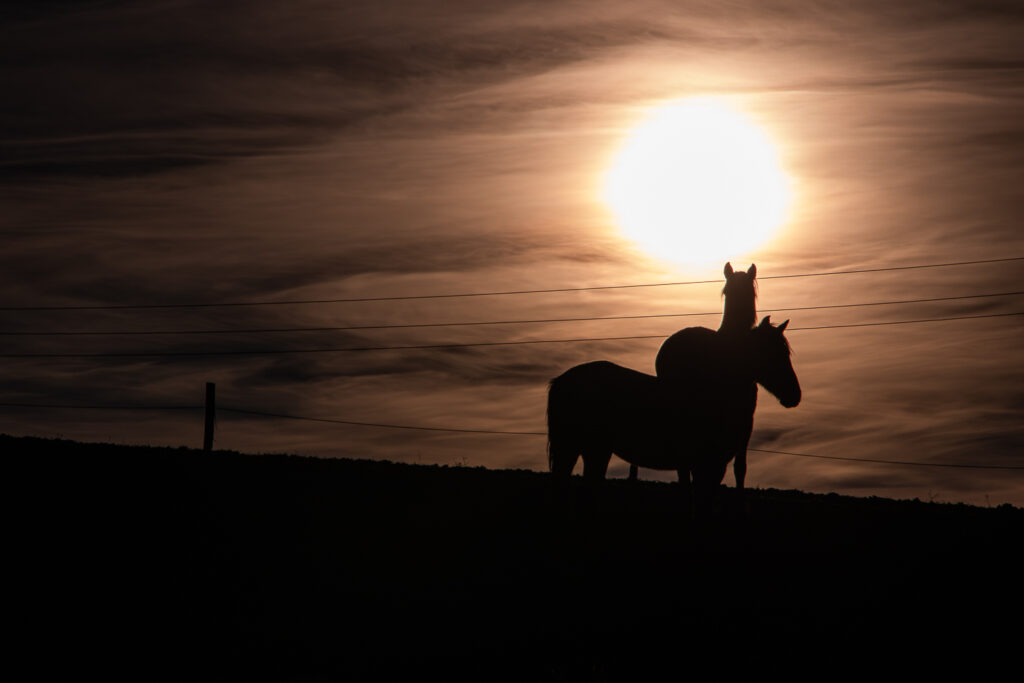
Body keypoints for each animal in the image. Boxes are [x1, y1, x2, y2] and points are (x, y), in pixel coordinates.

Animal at [547, 316, 800, 516]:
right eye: (775, 353)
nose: (795, 395)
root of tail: (562, 380)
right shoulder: (709, 466)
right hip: (580, 449)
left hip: (590, 450)